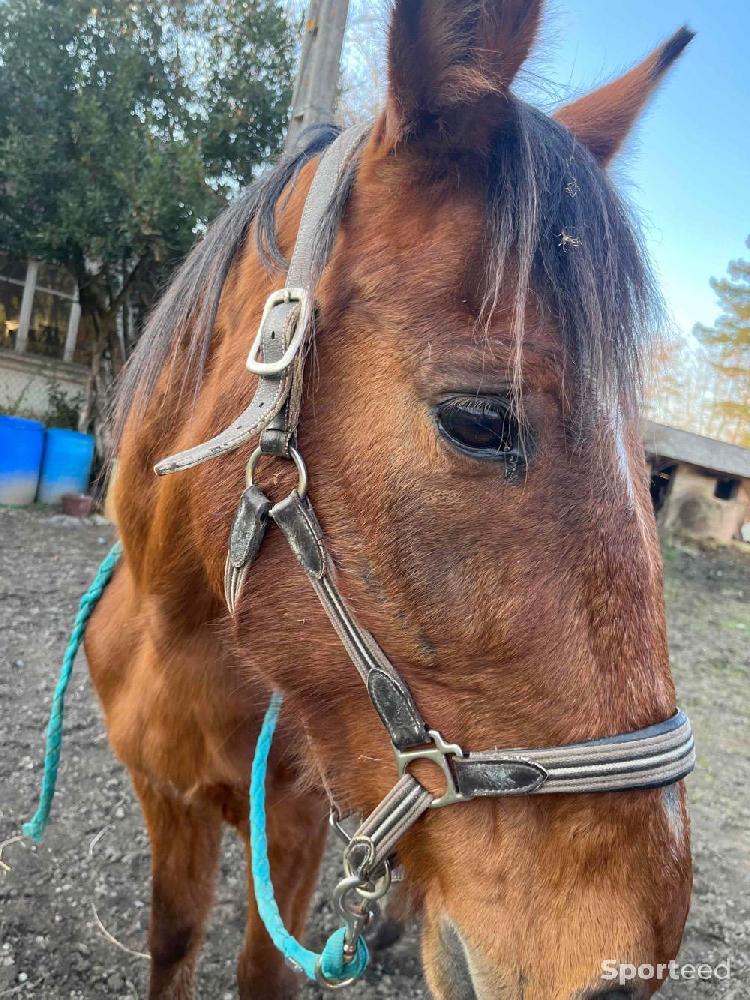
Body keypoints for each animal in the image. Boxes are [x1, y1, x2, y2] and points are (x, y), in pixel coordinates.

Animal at [88, 3, 700, 996]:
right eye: (479, 421)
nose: (619, 972)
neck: (177, 642)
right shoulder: (165, 802)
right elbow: (173, 938)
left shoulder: (296, 831)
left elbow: (262, 972)